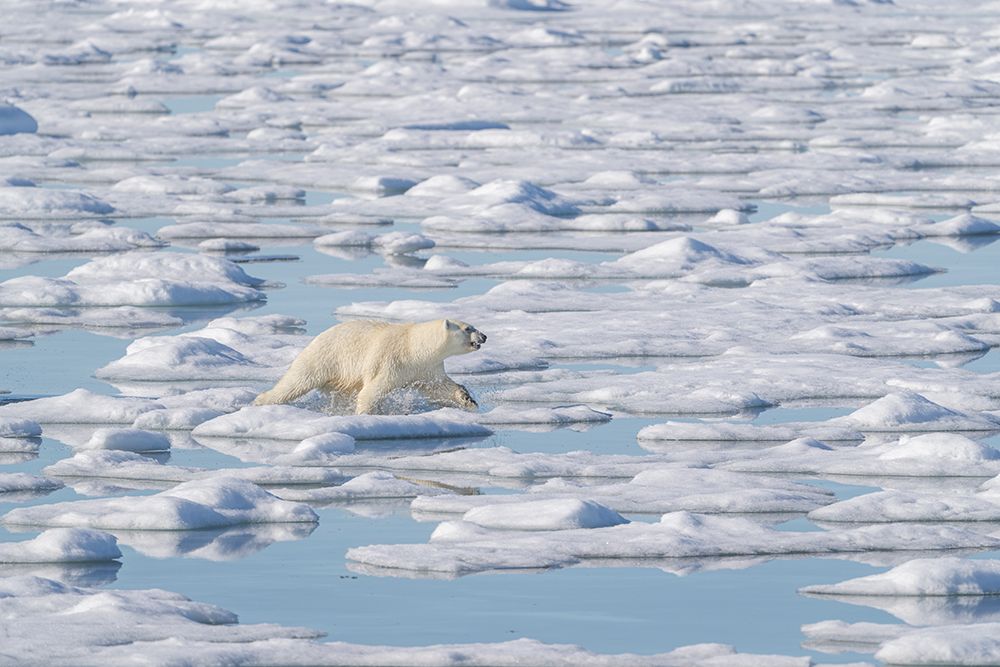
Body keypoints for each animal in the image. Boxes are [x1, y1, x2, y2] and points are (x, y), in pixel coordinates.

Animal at [253, 318, 487, 415]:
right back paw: (261, 401)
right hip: (325, 357)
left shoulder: (426, 367)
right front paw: (366, 414)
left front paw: (468, 400)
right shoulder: (390, 360)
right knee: (296, 381)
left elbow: (440, 387)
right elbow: (373, 390)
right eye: (468, 328)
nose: (484, 336)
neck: (414, 346)